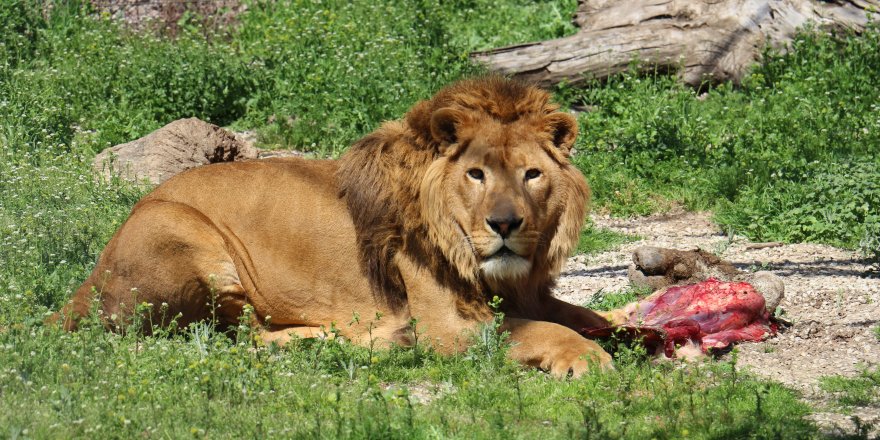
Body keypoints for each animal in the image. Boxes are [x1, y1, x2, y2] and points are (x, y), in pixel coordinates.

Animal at [53, 76, 612, 378]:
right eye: (476, 174)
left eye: (531, 174)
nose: (505, 223)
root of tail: (84, 288)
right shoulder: (448, 324)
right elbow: (541, 329)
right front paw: (586, 355)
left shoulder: (531, 295)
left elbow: (581, 316)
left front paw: (618, 327)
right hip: (185, 231)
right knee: (237, 335)